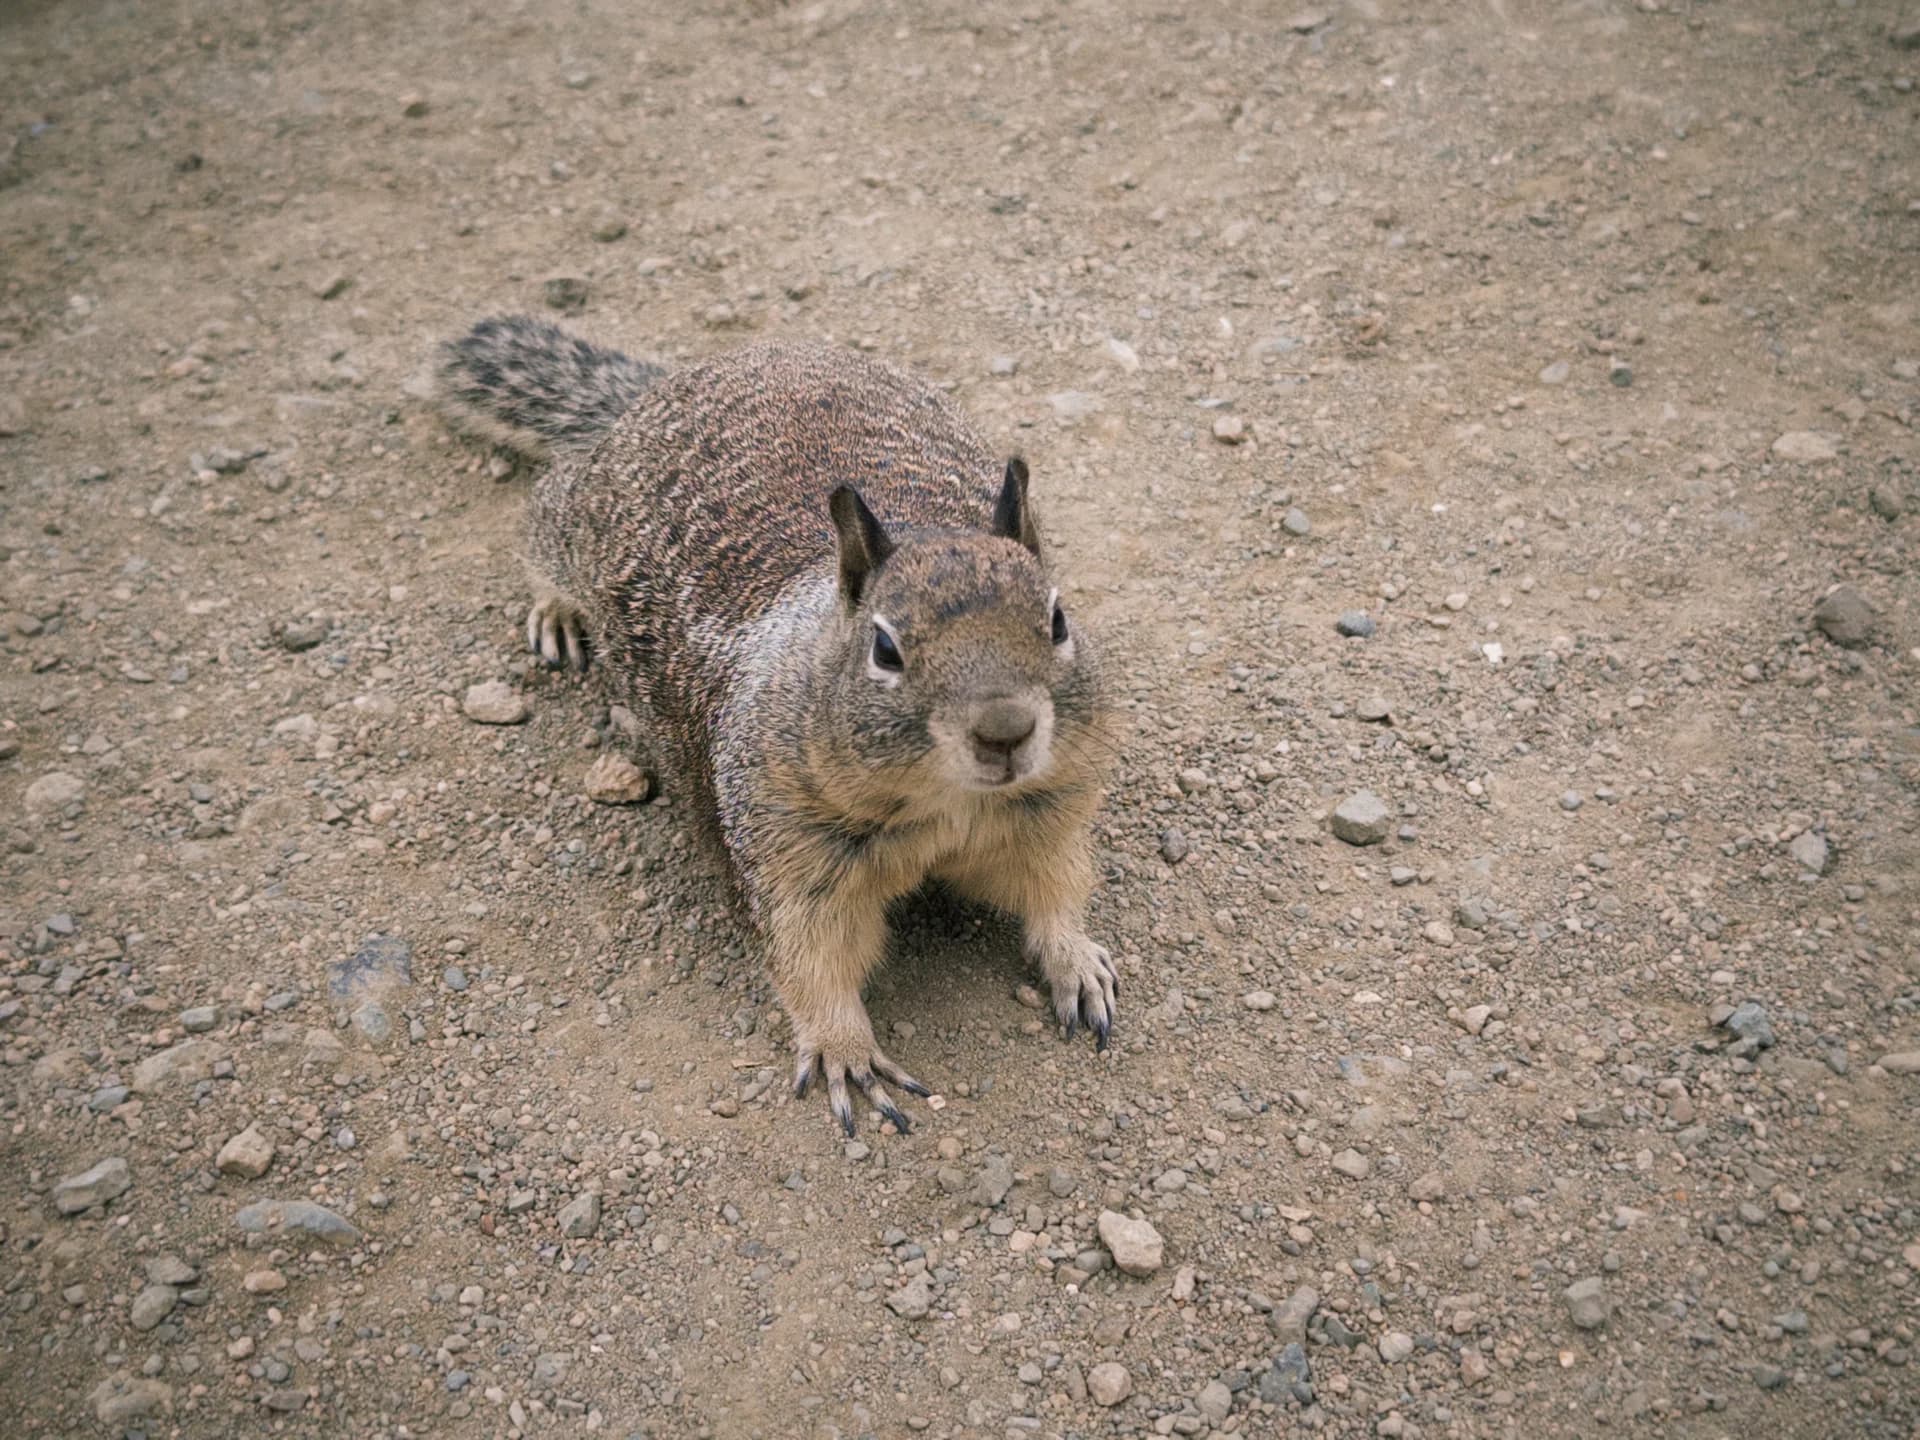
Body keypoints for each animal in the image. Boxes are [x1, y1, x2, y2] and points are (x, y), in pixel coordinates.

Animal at [435, 315, 1124, 1133]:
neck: (949, 804)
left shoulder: (1049, 809)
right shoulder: (786, 853)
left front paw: (1077, 961)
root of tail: (683, 377)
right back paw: (556, 613)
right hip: (576, 519)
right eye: (885, 649)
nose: (1006, 730)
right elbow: (808, 958)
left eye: (1057, 618)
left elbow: (1055, 887)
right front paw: (844, 1050)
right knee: (544, 511)